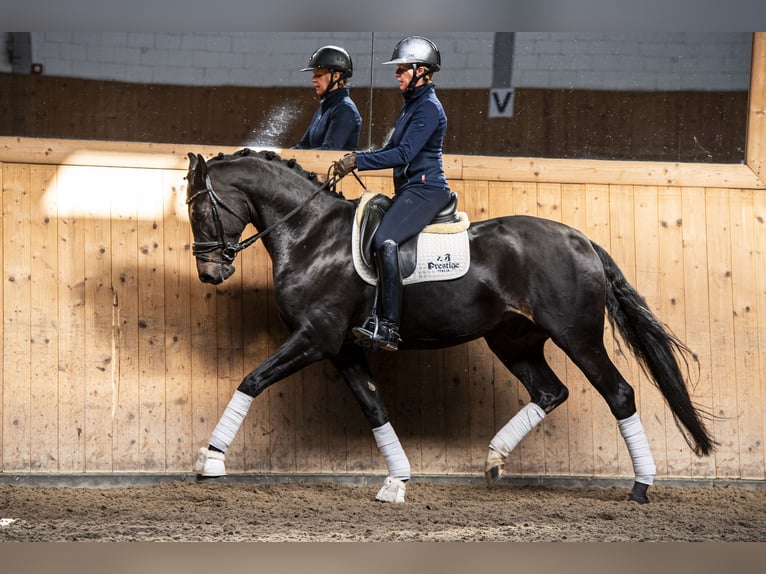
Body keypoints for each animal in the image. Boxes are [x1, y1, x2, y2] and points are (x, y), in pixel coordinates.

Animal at [184, 147, 712, 504]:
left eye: (199, 207)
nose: (211, 273)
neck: (311, 235)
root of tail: (580, 240)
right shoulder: (342, 346)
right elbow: (374, 407)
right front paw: (397, 481)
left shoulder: (316, 336)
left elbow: (252, 380)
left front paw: (211, 460)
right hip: (513, 340)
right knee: (550, 391)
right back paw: (494, 460)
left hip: (577, 336)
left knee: (618, 393)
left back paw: (640, 487)